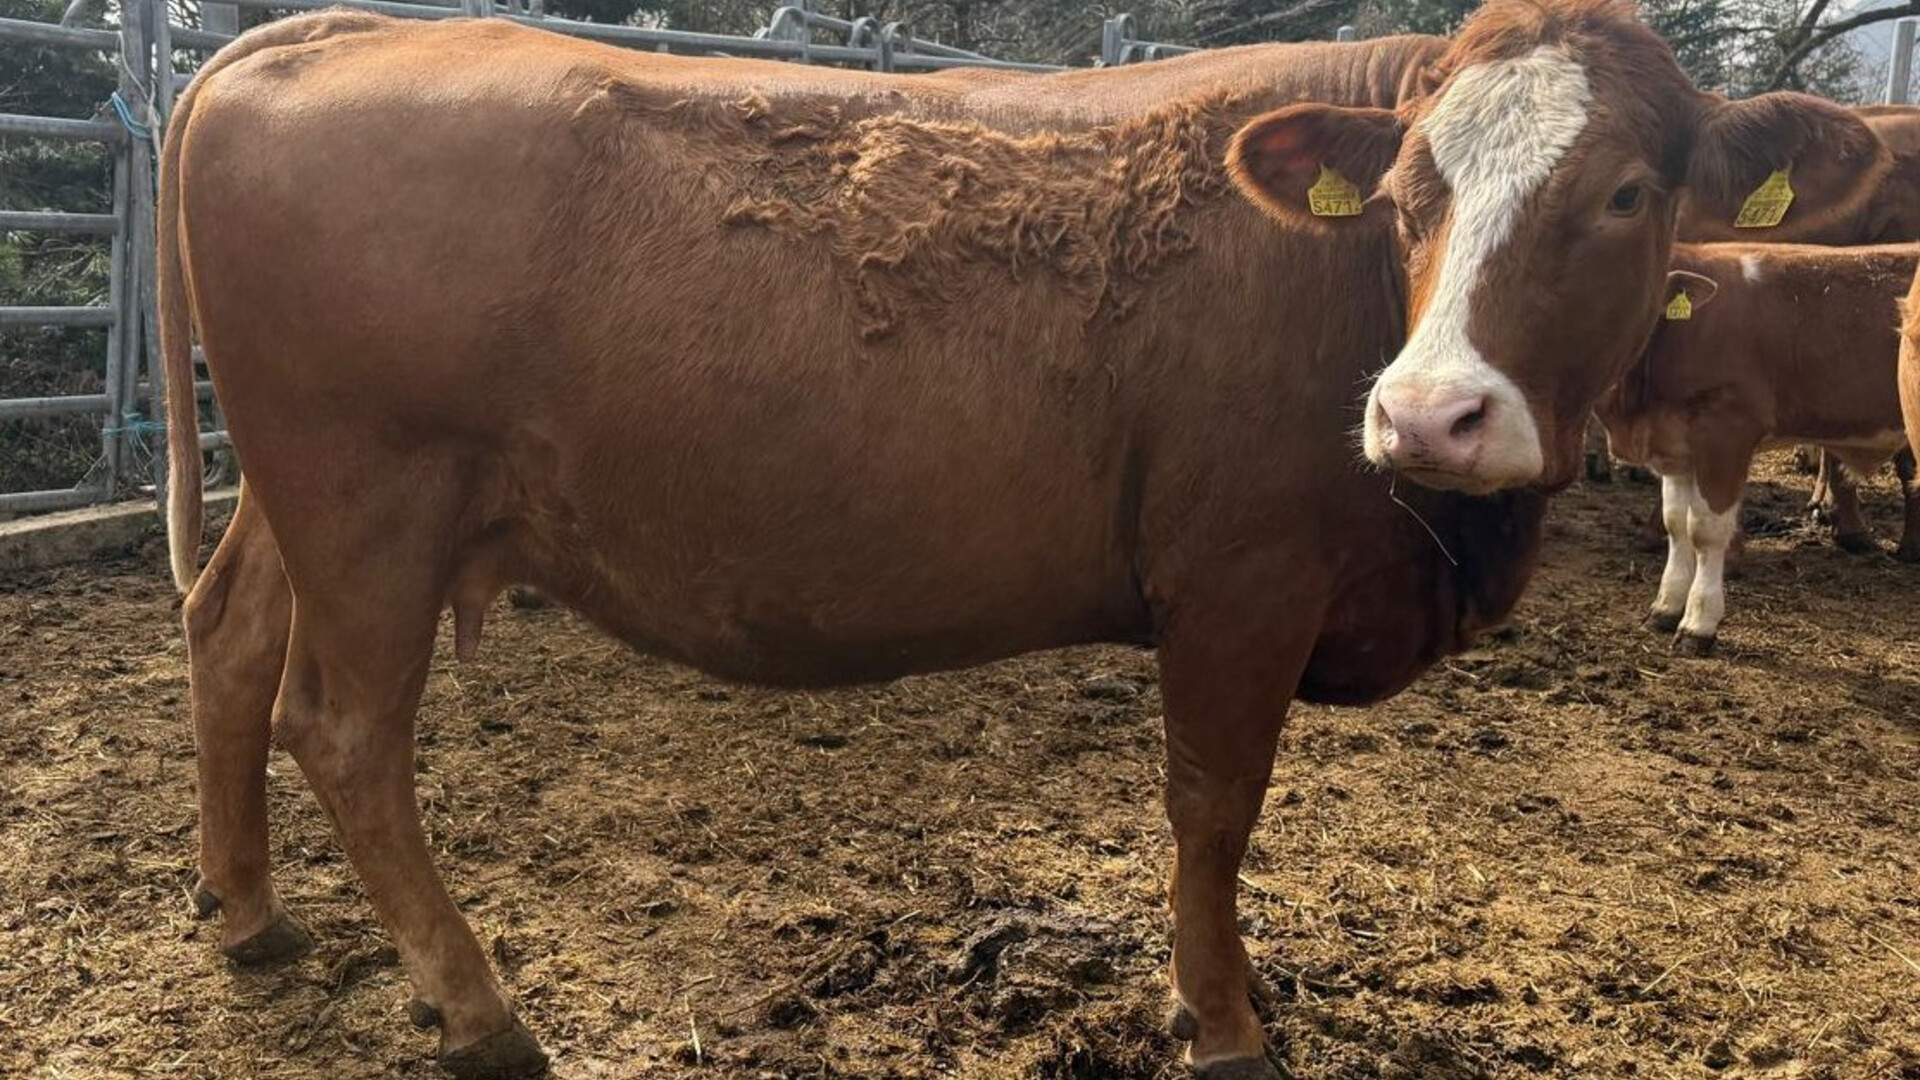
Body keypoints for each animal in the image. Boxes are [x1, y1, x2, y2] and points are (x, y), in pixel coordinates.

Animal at [158, 2, 1886, 1077]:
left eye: (1632, 191)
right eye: (1407, 186)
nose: (1430, 416)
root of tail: (340, 32)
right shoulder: (1239, 585)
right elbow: (1213, 809)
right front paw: (1224, 1018)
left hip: (300, 510)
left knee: (227, 640)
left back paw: (248, 915)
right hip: (373, 503)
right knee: (345, 728)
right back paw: (480, 1011)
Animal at [1596, 242, 1920, 656]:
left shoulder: (1726, 435)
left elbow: (1705, 531)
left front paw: (1698, 623)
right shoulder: (1677, 447)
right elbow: (1675, 524)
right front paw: (1665, 608)